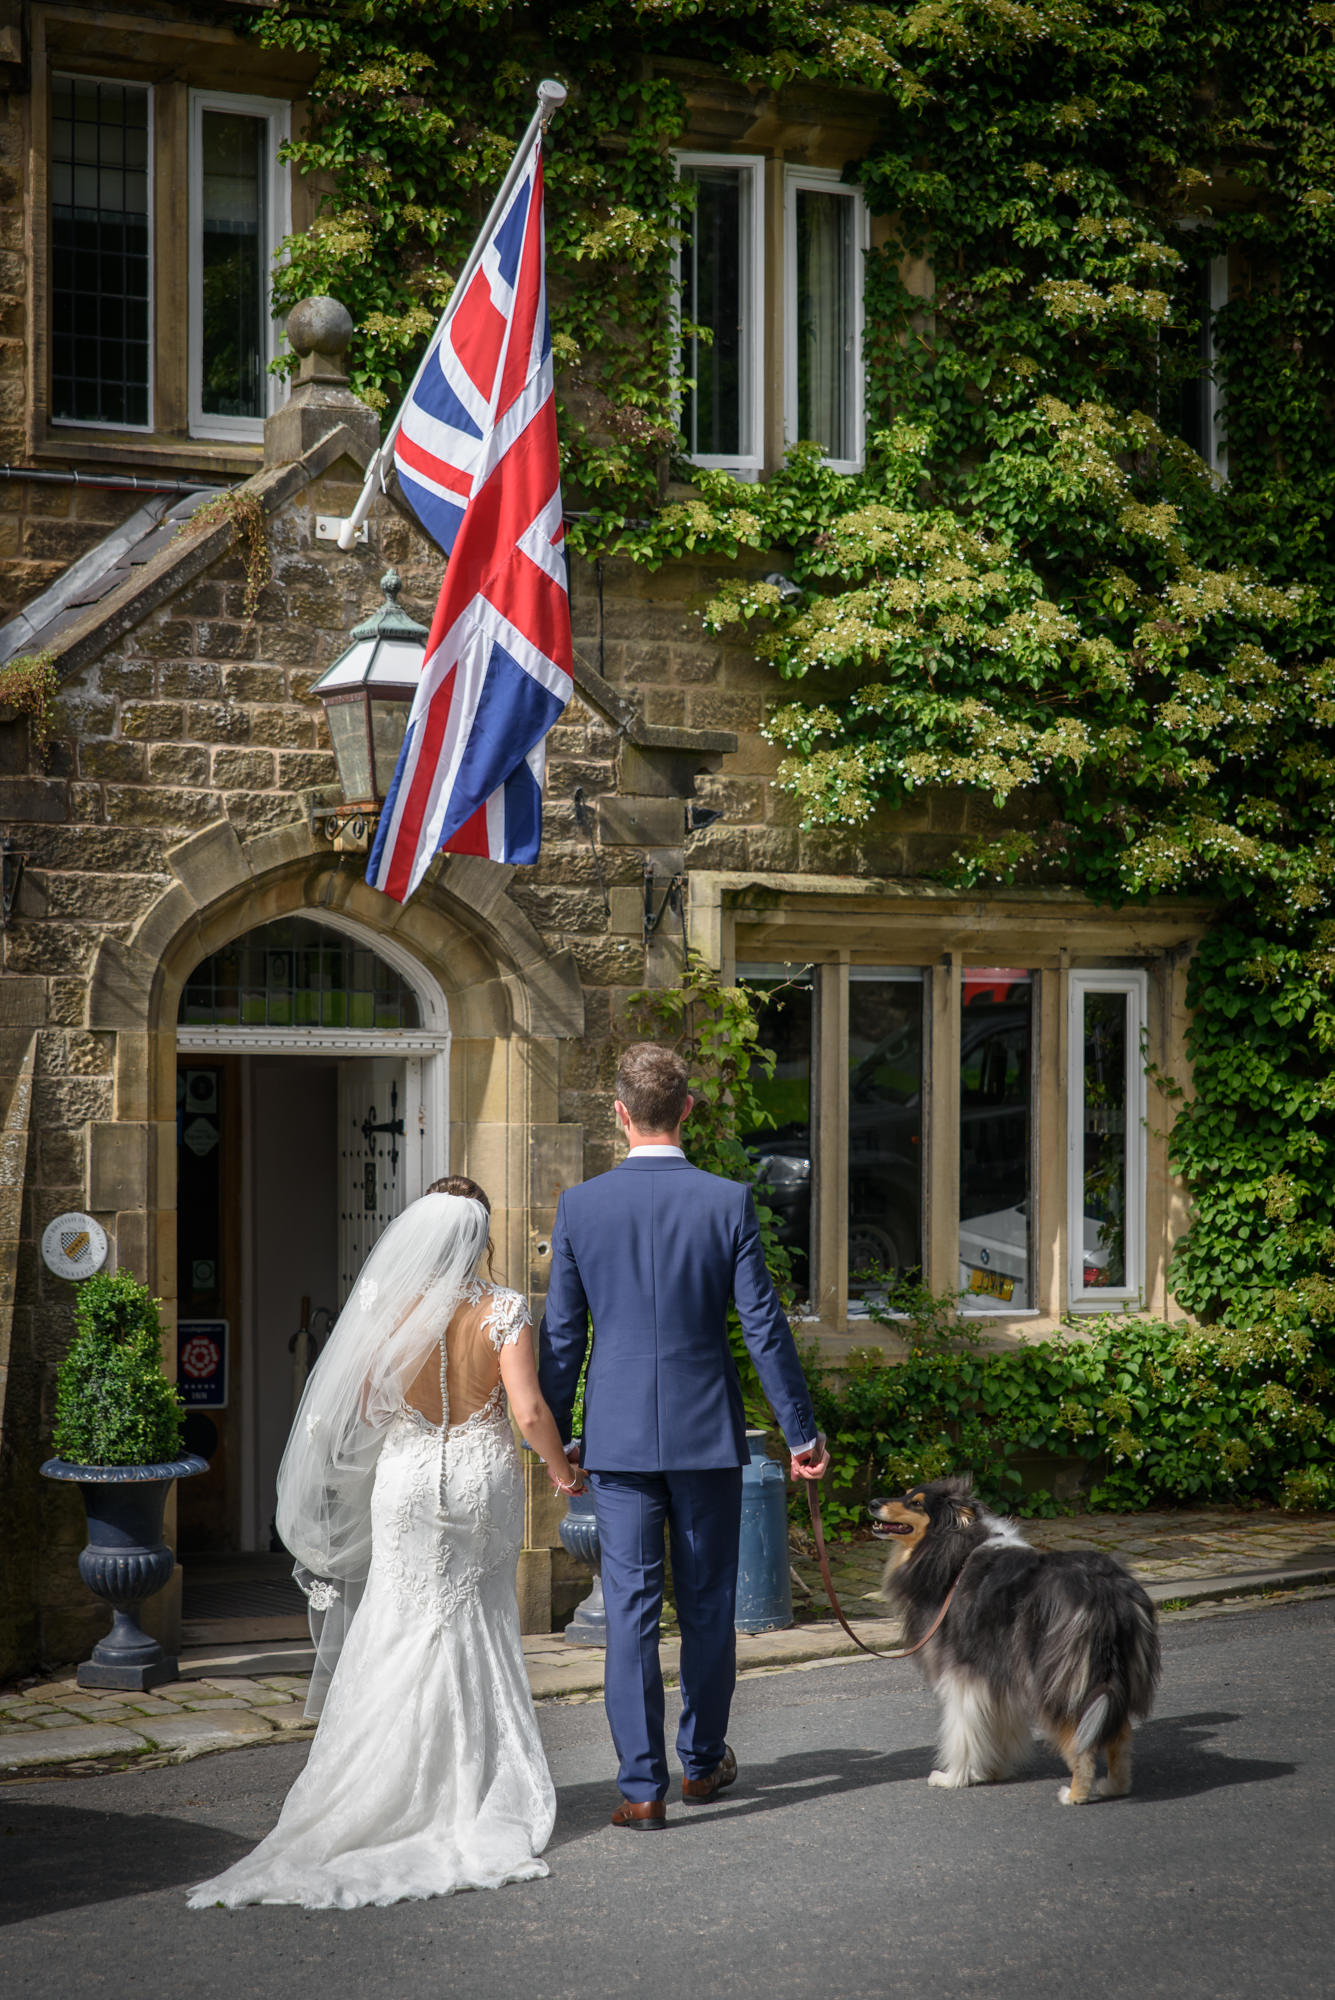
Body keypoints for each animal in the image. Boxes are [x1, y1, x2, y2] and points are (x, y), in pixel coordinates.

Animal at [871, 1472, 1159, 1816]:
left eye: (916, 1503)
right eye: (905, 1494)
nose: (872, 1503)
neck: (955, 1549)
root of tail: (1105, 1592)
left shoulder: (962, 1673)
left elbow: (961, 1730)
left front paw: (954, 1777)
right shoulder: (996, 1671)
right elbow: (994, 1722)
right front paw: (992, 1770)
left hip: (1059, 1679)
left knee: (1080, 1736)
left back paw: (1076, 1794)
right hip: (1112, 1677)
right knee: (1118, 1733)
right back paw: (1114, 1786)